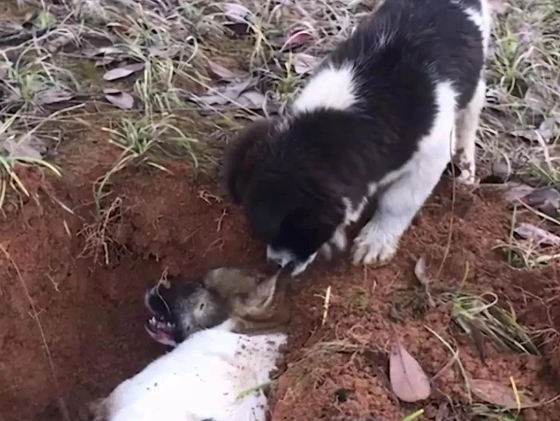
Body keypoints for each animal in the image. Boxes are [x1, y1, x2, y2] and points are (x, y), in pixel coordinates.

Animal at [222, 0, 490, 274]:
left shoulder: (430, 155)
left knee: (470, 115)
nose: (277, 265)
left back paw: (466, 166)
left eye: (301, 231)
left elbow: (398, 201)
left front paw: (376, 240)